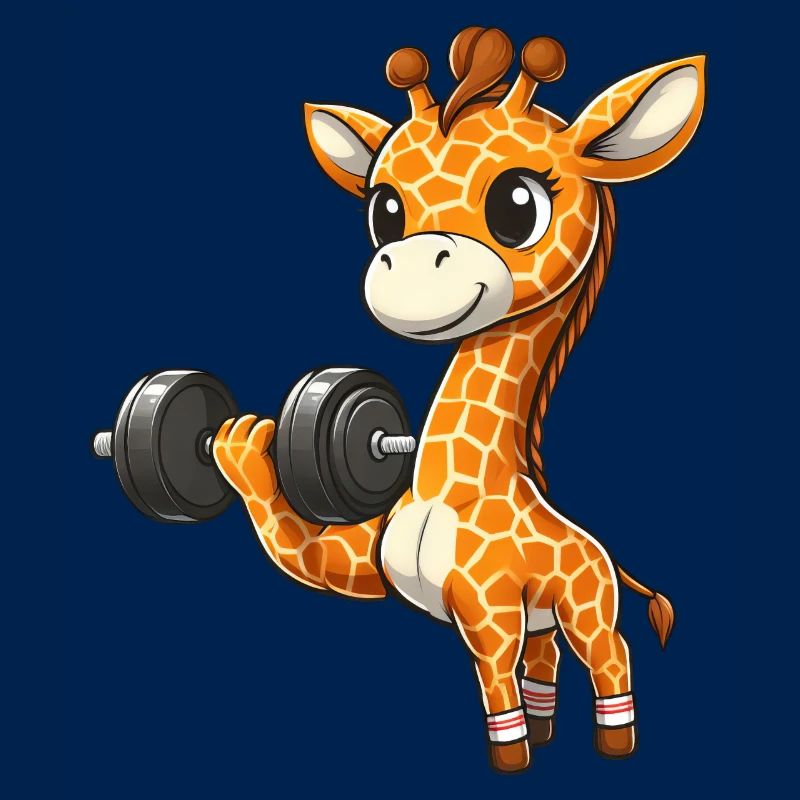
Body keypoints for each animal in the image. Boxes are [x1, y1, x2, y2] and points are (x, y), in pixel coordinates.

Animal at [213, 28, 705, 773]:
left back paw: (616, 743)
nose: (408, 270)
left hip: (588, 605)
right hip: (545, 620)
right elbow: (313, 561)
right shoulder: (377, 568)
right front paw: (240, 448)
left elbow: (495, 692)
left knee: (610, 656)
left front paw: (511, 762)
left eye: (518, 205)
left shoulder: (489, 614)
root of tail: (599, 550)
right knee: (545, 664)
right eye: (385, 210)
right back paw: (550, 727)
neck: (455, 489)